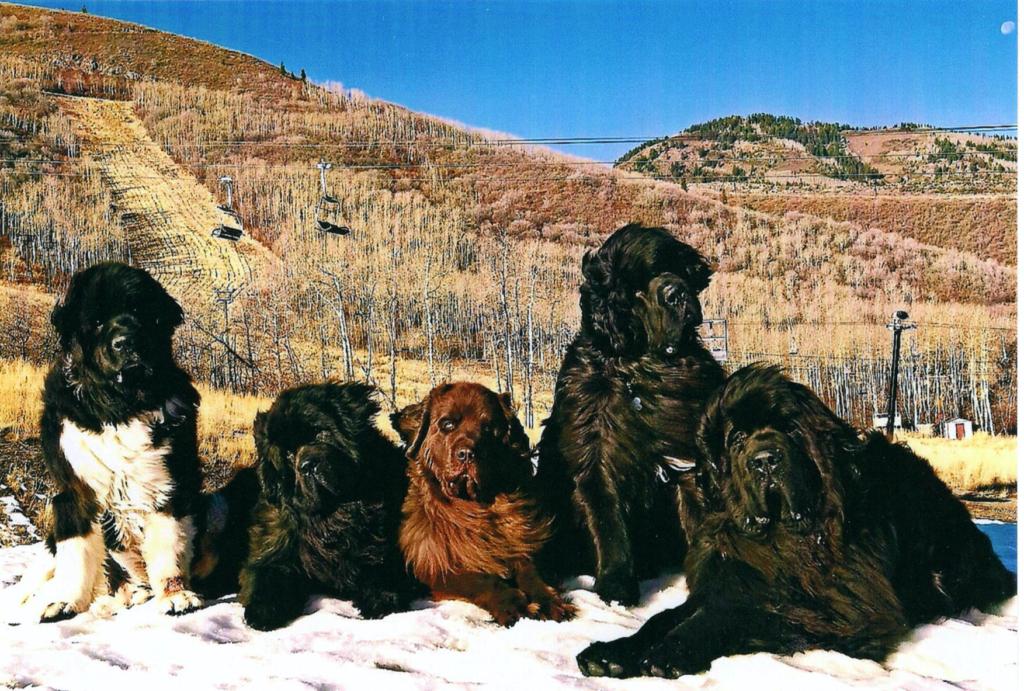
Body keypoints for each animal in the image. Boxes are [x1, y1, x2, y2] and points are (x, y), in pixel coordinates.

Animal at [3, 264, 207, 622]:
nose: (126, 342)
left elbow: (169, 542)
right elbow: (77, 554)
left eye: (140, 312)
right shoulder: (74, 494)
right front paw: (66, 602)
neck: (120, 406)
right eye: (97, 321)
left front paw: (176, 595)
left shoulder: (170, 482)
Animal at [240, 382, 423, 630]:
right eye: (287, 454)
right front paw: (262, 610)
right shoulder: (273, 548)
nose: (307, 465)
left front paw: (382, 599)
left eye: (320, 432)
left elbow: (381, 567)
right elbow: (268, 576)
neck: (334, 515)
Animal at [389, 382, 573, 626]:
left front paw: (547, 601)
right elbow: (480, 579)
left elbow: (530, 570)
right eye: (448, 425)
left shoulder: (519, 544)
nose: (467, 454)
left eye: (488, 428)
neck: (476, 511)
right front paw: (514, 604)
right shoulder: (434, 564)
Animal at [532, 223, 724, 606]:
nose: (677, 293)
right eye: (635, 289)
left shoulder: (683, 457)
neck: (643, 367)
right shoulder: (595, 455)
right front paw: (616, 585)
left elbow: (698, 516)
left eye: (676, 268)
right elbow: (609, 525)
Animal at [577, 364, 1015, 679]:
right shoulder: (730, 575)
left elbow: (742, 614)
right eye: (737, 438)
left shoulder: (842, 609)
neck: (780, 539)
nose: (766, 460)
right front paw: (612, 651)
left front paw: (672, 650)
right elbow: (664, 617)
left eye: (789, 431)